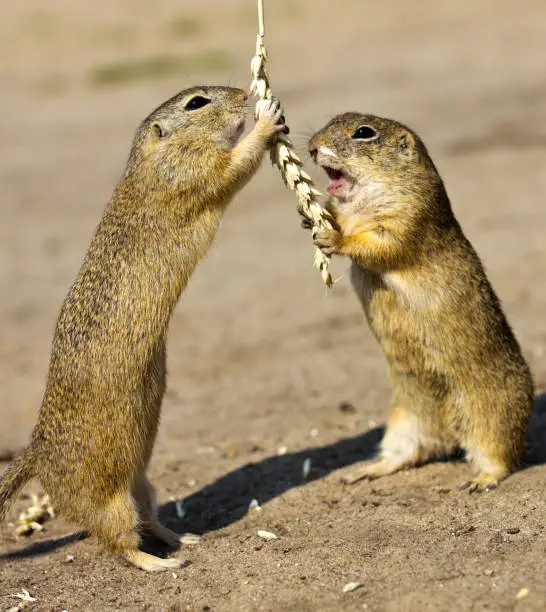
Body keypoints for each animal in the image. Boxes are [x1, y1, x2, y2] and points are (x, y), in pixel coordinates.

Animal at [2, 85, 284, 568]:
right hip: (111, 502)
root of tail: (35, 452)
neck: (151, 157)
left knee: (150, 520)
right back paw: (162, 562)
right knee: (119, 543)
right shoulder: (195, 173)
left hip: (142, 484)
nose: (242, 94)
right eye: (196, 102)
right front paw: (266, 117)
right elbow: (236, 164)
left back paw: (181, 538)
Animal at [306, 112, 532, 490]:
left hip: (493, 418)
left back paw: (481, 479)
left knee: (501, 457)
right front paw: (312, 215)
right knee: (407, 455)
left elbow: (378, 244)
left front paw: (332, 237)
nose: (311, 147)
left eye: (364, 133)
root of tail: (449, 431)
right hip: (402, 423)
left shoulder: (408, 215)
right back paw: (364, 472)